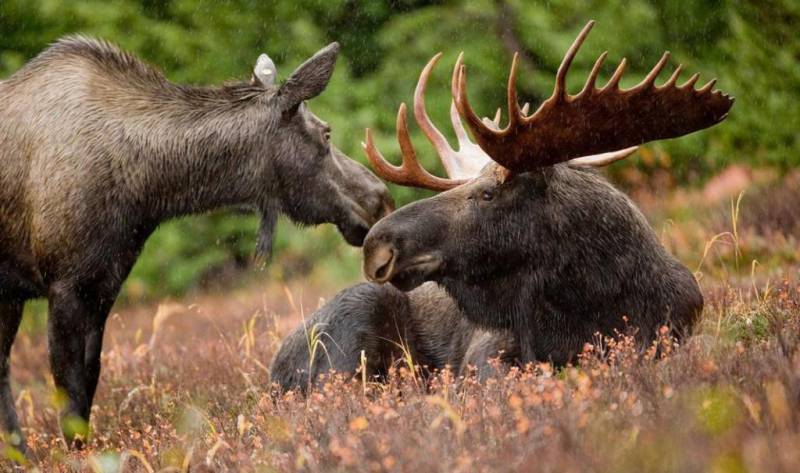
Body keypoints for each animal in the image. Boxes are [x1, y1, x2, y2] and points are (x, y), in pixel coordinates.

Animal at [0, 38, 394, 448]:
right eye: (326, 133)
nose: (379, 199)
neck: (148, 190)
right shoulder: (64, 285)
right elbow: (70, 397)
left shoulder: (103, 285)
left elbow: (89, 383)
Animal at [272, 21, 736, 390]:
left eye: (487, 194)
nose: (377, 245)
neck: (595, 299)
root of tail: (274, 372)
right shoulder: (488, 354)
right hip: (353, 323)